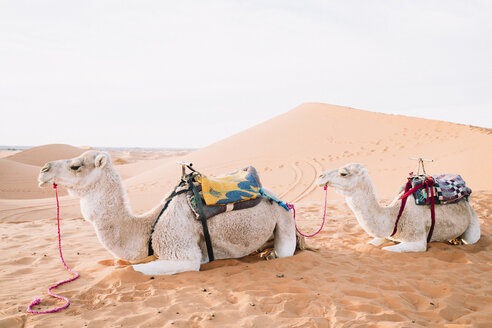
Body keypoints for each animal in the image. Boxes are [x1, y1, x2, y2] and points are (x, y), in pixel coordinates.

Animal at [37, 151, 296, 274]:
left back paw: (273, 254)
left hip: (284, 217)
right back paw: (265, 252)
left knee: (285, 250)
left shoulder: (182, 251)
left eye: (76, 166)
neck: (148, 226)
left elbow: (134, 269)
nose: (43, 169)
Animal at [316, 163, 480, 252]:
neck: (394, 217)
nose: (320, 176)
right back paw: (454, 240)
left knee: (471, 240)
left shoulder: (418, 241)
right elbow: (373, 243)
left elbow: (387, 249)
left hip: (472, 223)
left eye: (343, 173)